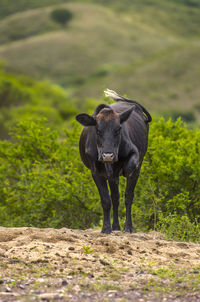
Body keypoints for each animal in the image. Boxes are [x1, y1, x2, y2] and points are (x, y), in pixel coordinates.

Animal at [76, 89, 151, 234]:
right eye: (98, 130)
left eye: (118, 129)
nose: (108, 156)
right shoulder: (96, 172)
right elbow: (106, 200)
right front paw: (106, 228)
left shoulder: (134, 155)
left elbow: (130, 167)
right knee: (115, 198)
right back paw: (116, 226)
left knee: (128, 197)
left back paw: (128, 227)